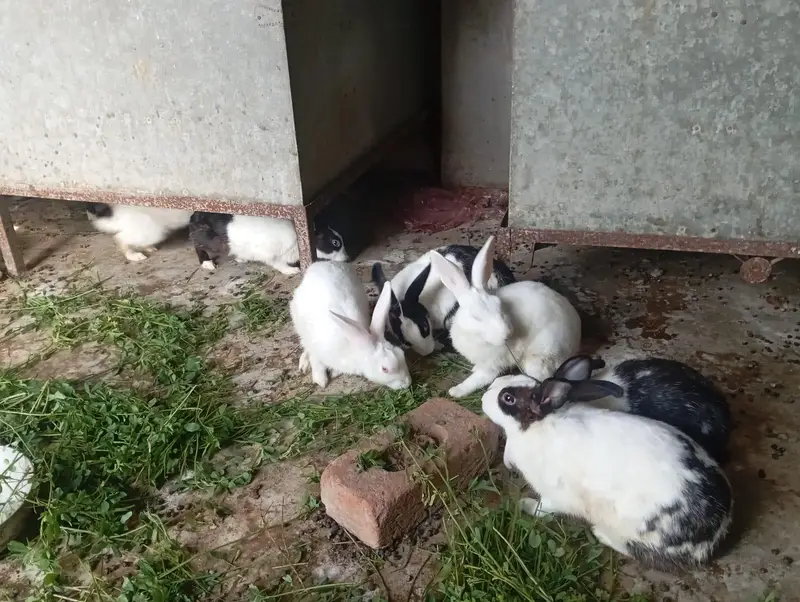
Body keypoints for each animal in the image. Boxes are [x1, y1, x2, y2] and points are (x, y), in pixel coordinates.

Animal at [290, 260, 411, 390]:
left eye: (402, 354)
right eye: (385, 369)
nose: (407, 383)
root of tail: (319, 264)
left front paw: (334, 372)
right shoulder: (316, 347)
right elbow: (316, 361)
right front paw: (321, 380)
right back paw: (304, 363)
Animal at [430, 235, 580, 398]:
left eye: (499, 306)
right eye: (476, 317)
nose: (506, 335)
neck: (477, 337)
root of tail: (575, 341)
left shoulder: (491, 365)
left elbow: (479, 379)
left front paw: (456, 391)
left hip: (539, 358)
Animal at [482, 374, 734, 572]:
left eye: (508, 398)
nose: (484, 397)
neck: (537, 426)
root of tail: (717, 532)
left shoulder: (556, 493)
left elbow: (544, 507)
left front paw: (525, 505)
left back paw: (601, 533)